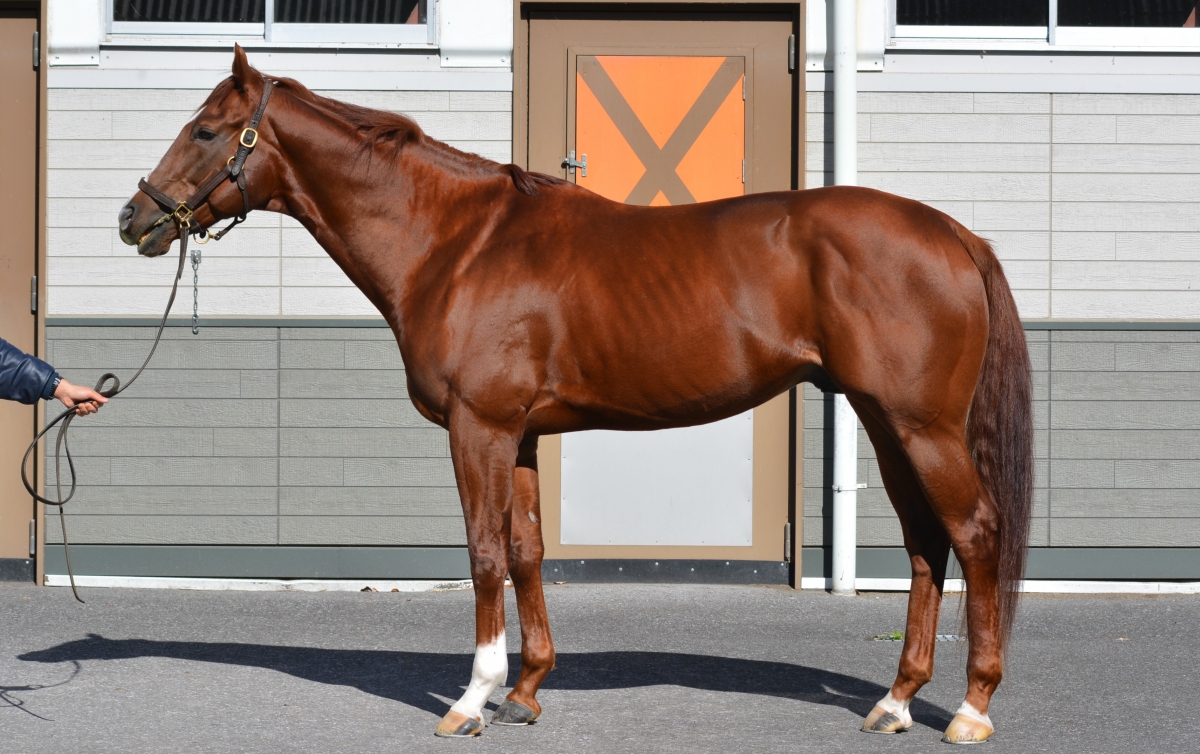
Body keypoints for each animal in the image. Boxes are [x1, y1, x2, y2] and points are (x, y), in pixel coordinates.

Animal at [117, 47, 1032, 744]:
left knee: (975, 533)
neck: (456, 243)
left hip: (921, 425)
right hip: (886, 422)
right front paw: (525, 694)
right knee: (926, 544)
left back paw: (971, 710)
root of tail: (953, 233)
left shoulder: (477, 428)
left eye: (205, 130)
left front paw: (471, 699)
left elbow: (484, 553)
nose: (135, 219)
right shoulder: (518, 434)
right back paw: (896, 701)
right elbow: (526, 551)